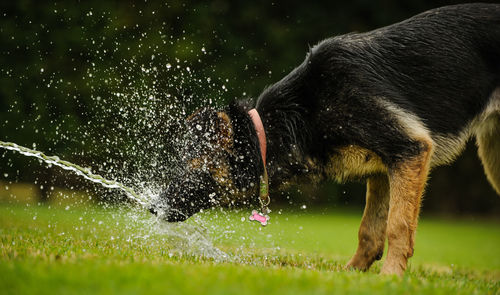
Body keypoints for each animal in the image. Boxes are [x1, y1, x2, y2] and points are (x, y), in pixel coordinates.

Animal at [149, 4, 500, 278]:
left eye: (191, 166)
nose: (152, 207)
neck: (302, 111)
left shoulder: (409, 150)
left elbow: (397, 226)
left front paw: (390, 279)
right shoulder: (383, 169)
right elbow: (369, 231)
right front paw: (352, 277)